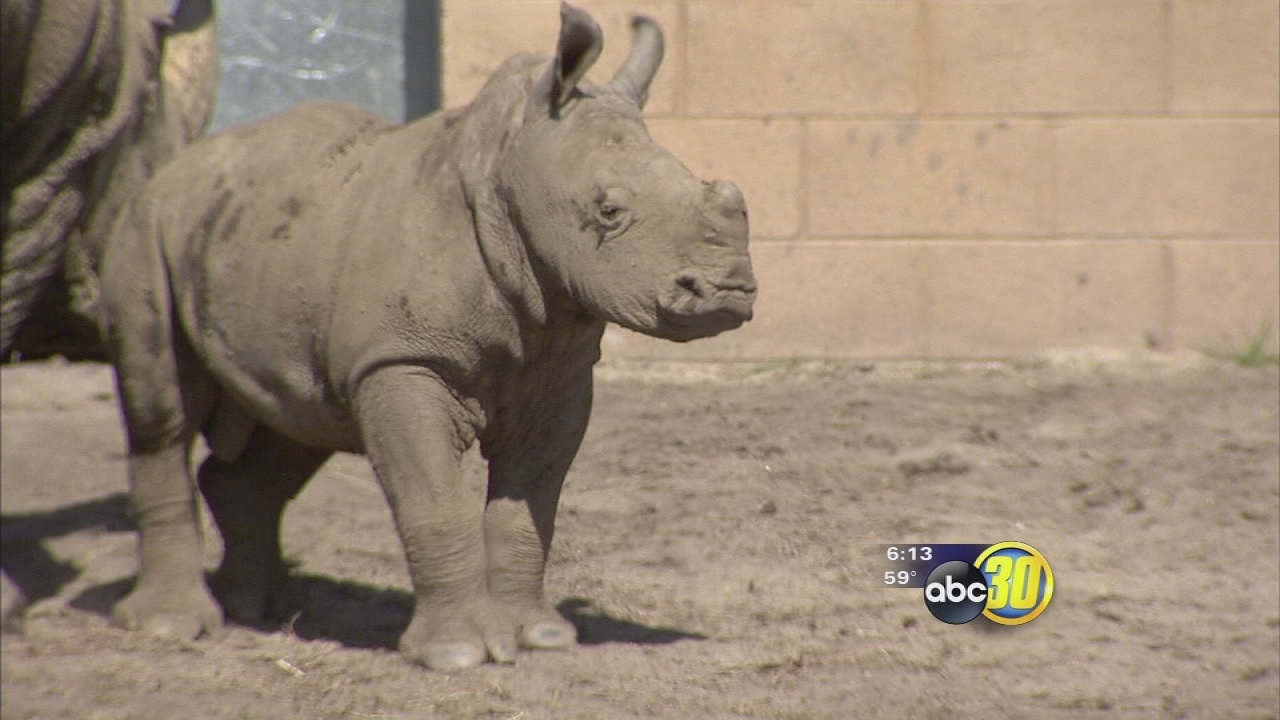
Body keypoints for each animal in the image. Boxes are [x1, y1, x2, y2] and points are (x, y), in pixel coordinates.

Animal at [100, 3, 756, 670]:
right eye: (609, 212)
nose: (728, 290)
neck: (510, 170)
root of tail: (181, 164)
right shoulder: (402, 359)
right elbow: (433, 503)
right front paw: (458, 653)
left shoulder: (559, 374)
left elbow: (530, 507)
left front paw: (540, 637)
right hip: (147, 227)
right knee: (163, 410)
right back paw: (172, 625)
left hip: (261, 247)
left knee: (299, 416)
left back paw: (265, 610)